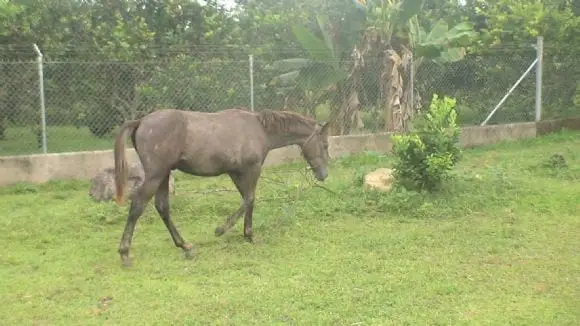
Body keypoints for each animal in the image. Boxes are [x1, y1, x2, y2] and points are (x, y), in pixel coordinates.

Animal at [114, 108, 330, 266]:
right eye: (325, 144)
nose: (324, 174)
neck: (259, 130)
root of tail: (140, 121)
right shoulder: (251, 170)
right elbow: (250, 198)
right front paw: (232, 231)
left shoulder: (235, 172)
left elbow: (247, 200)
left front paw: (240, 232)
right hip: (156, 175)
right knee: (138, 205)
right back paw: (124, 253)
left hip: (164, 176)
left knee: (162, 207)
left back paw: (185, 246)